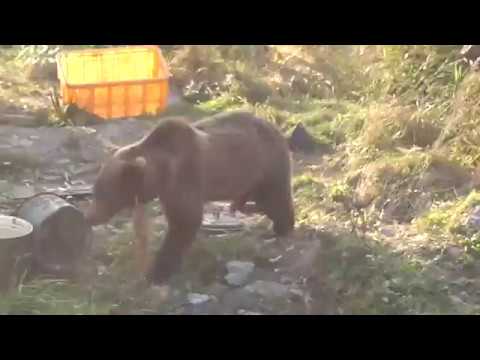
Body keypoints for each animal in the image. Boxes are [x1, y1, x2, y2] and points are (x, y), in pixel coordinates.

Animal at [85, 111, 296, 286]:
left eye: (104, 192)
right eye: (96, 189)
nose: (90, 217)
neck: (160, 173)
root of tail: (275, 127)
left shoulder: (185, 178)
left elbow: (185, 222)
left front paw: (158, 272)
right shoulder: (168, 192)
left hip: (265, 164)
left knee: (276, 196)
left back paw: (281, 227)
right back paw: (239, 205)